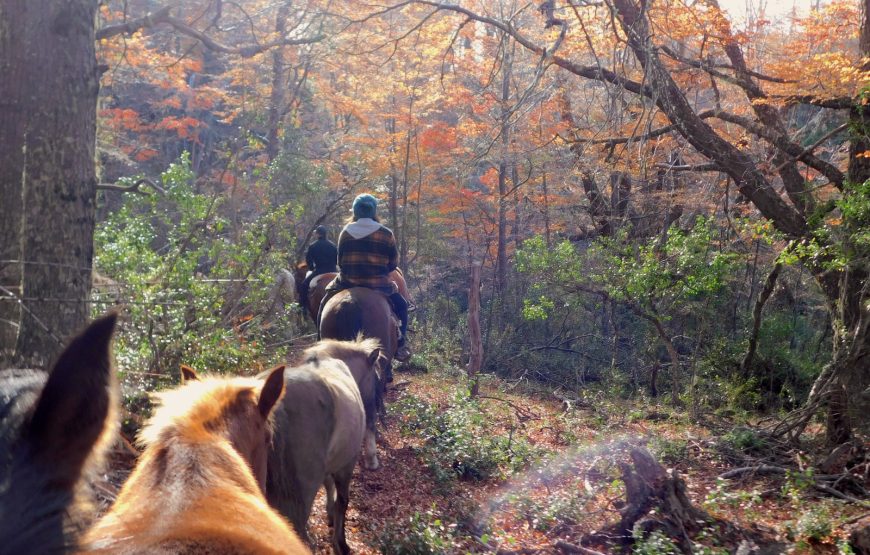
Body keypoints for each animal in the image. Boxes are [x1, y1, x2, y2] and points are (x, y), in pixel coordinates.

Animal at [264, 336, 376, 552]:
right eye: (376, 377)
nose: (376, 408)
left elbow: (329, 486)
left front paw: (330, 515)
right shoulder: (346, 465)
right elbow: (343, 501)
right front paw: (340, 542)